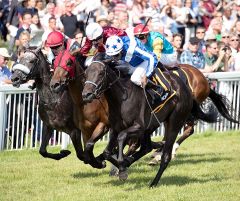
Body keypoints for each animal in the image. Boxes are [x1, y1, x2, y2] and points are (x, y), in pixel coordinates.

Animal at [82, 59, 216, 187]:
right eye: (85, 74)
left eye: (100, 73)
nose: (86, 95)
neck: (122, 98)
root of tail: (187, 88)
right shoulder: (115, 127)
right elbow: (105, 151)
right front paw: (107, 163)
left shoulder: (139, 127)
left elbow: (121, 138)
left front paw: (121, 168)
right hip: (152, 126)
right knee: (146, 147)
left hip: (174, 122)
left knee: (166, 155)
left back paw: (154, 181)